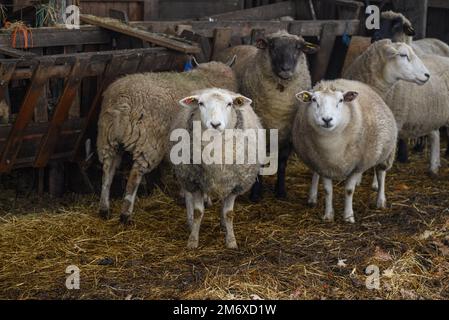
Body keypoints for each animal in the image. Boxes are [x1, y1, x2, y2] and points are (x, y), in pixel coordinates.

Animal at [97, 58, 238, 225]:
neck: (207, 78)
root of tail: (123, 104)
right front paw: (206, 199)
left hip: (108, 138)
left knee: (107, 171)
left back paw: (104, 208)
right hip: (148, 143)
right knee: (134, 176)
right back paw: (126, 213)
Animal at [169, 88, 260, 250]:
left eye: (230, 104)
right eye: (200, 103)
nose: (215, 124)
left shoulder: (234, 184)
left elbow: (229, 213)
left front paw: (231, 240)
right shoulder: (195, 181)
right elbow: (198, 212)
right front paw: (193, 240)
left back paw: (223, 224)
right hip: (186, 177)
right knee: (188, 197)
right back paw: (190, 222)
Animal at [214, 30, 316, 200]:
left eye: (298, 47)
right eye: (272, 46)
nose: (286, 69)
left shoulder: (288, 135)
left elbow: (282, 163)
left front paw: (281, 191)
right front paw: (256, 193)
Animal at [294, 79, 396, 222]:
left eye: (341, 100)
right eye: (314, 100)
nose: (327, 119)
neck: (332, 146)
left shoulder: (358, 165)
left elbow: (349, 190)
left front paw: (348, 216)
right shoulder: (323, 165)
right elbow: (327, 190)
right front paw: (328, 215)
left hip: (384, 152)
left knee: (381, 173)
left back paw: (380, 200)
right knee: (315, 174)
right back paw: (312, 197)